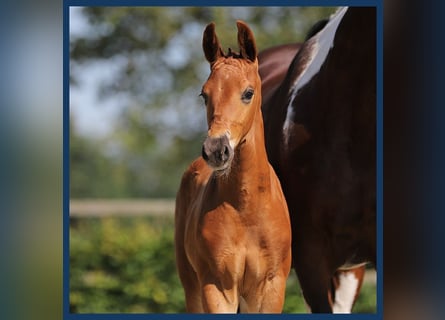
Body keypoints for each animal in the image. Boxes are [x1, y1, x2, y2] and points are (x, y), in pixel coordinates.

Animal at [173, 21, 292, 314]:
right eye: (204, 95)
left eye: (248, 93)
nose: (216, 151)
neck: (246, 210)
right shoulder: (218, 286)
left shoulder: (270, 287)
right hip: (191, 284)